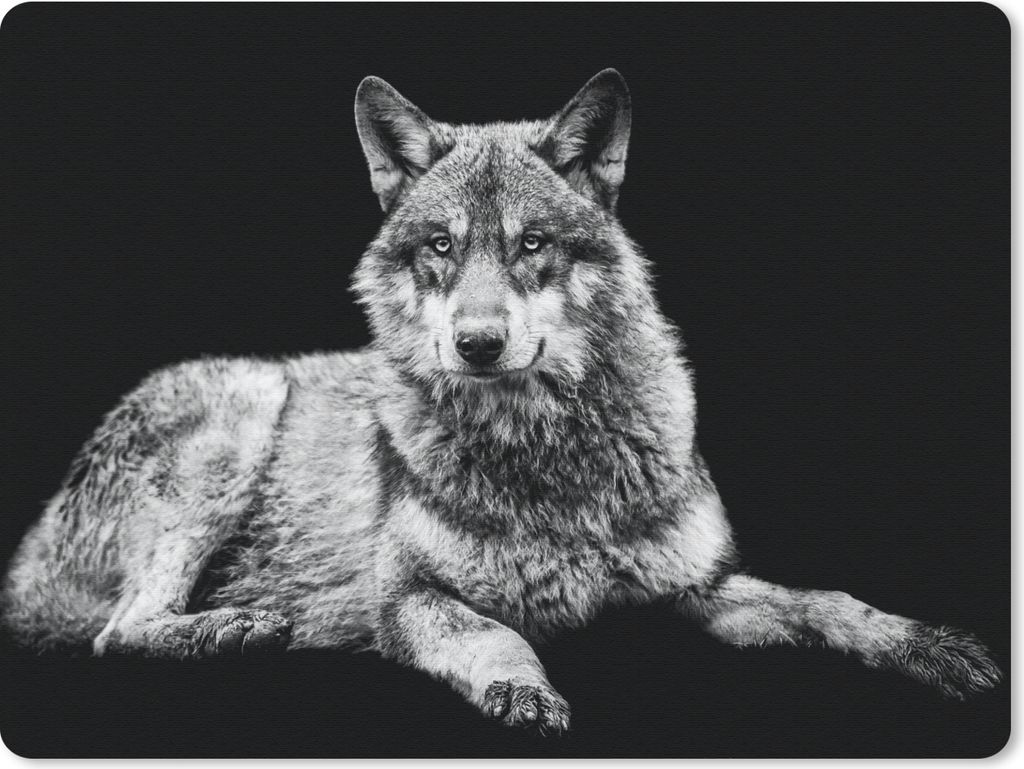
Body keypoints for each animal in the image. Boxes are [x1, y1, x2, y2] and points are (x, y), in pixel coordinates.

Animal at [2, 70, 1001, 732]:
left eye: (531, 245)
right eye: (441, 246)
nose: (476, 343)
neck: (549, 458)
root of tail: (31, 548)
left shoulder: (701, 587)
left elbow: (832, 601)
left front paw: (929, 644)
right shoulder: (408, 599)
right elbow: (496, 635)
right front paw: (523, 688)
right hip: (240, 414)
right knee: (117, 633)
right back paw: (233, 628)